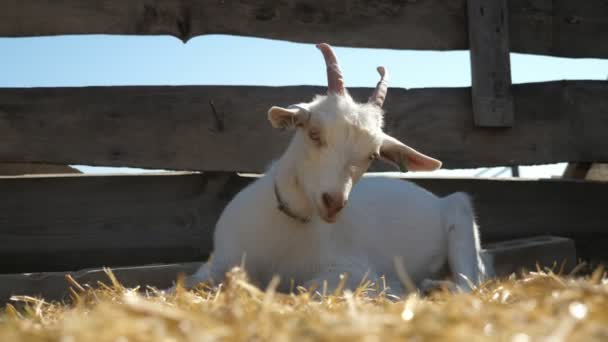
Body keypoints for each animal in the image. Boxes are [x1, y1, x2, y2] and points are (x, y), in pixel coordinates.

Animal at [182, 44, 490, 298]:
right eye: (314, 133)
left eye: (372, 155)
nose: (333, 203)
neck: (289, 224)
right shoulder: (221, 260)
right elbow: (191, 282)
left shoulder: (351, 268)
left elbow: (313, 286)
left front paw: (394, 288)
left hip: (460, 215)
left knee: (469, 284)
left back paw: (433, 286)